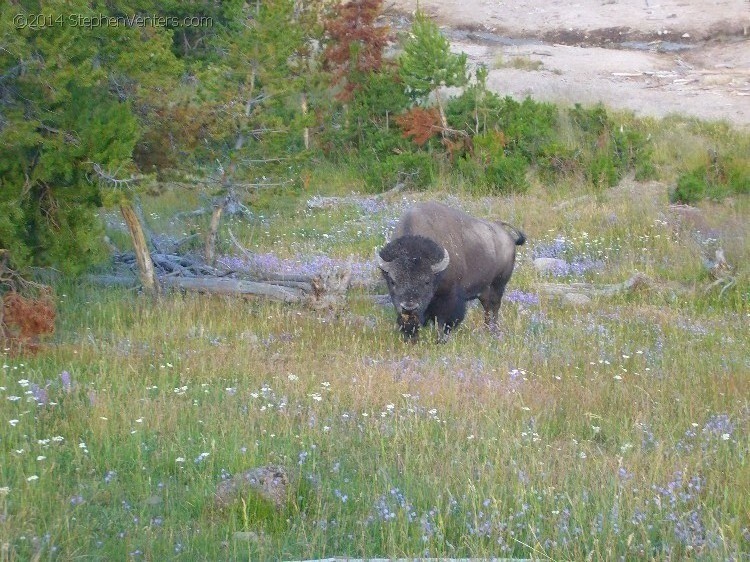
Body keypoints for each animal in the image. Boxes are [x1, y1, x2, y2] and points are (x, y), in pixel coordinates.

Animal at [378, 201, 524, 342]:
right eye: (392, 281)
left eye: (426, 281)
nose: (409, 307)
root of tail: (506, 234)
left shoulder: (448, 298)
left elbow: (442, 321)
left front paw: (440, 340)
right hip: (485, 289)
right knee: (487, 307)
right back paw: (487, 330)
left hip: (499, 284)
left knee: (494, 307)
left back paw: (494, 331)